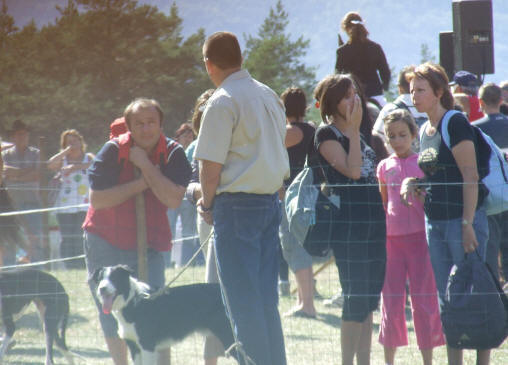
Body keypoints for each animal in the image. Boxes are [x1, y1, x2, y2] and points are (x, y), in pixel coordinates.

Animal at [93, 264, 236, 364]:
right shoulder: (134, 347)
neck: (132, 300)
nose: (102, 289)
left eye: (114, 278)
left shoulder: (147, 346)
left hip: (229, 336)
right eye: (100, 279)